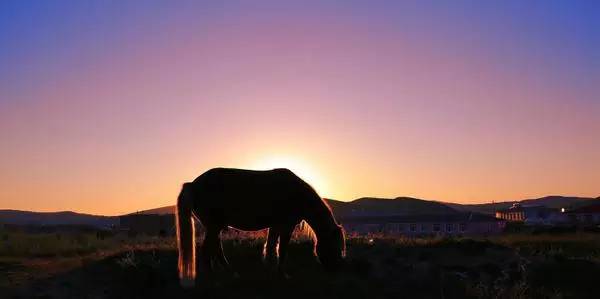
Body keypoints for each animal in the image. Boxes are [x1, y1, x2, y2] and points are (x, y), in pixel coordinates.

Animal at [176, 169, 344, 288]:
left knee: (216, 250)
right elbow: (282, 250)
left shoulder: (275, 227)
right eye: (336, 246)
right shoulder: (286, 227)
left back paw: (231, 273)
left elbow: (271, 248)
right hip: (213, 227)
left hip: (215, 228)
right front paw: (282, 275)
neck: (298, 195)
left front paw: (271, 272)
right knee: (207, 251)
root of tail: (193, 184)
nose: (336, 270)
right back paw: (213, 280)